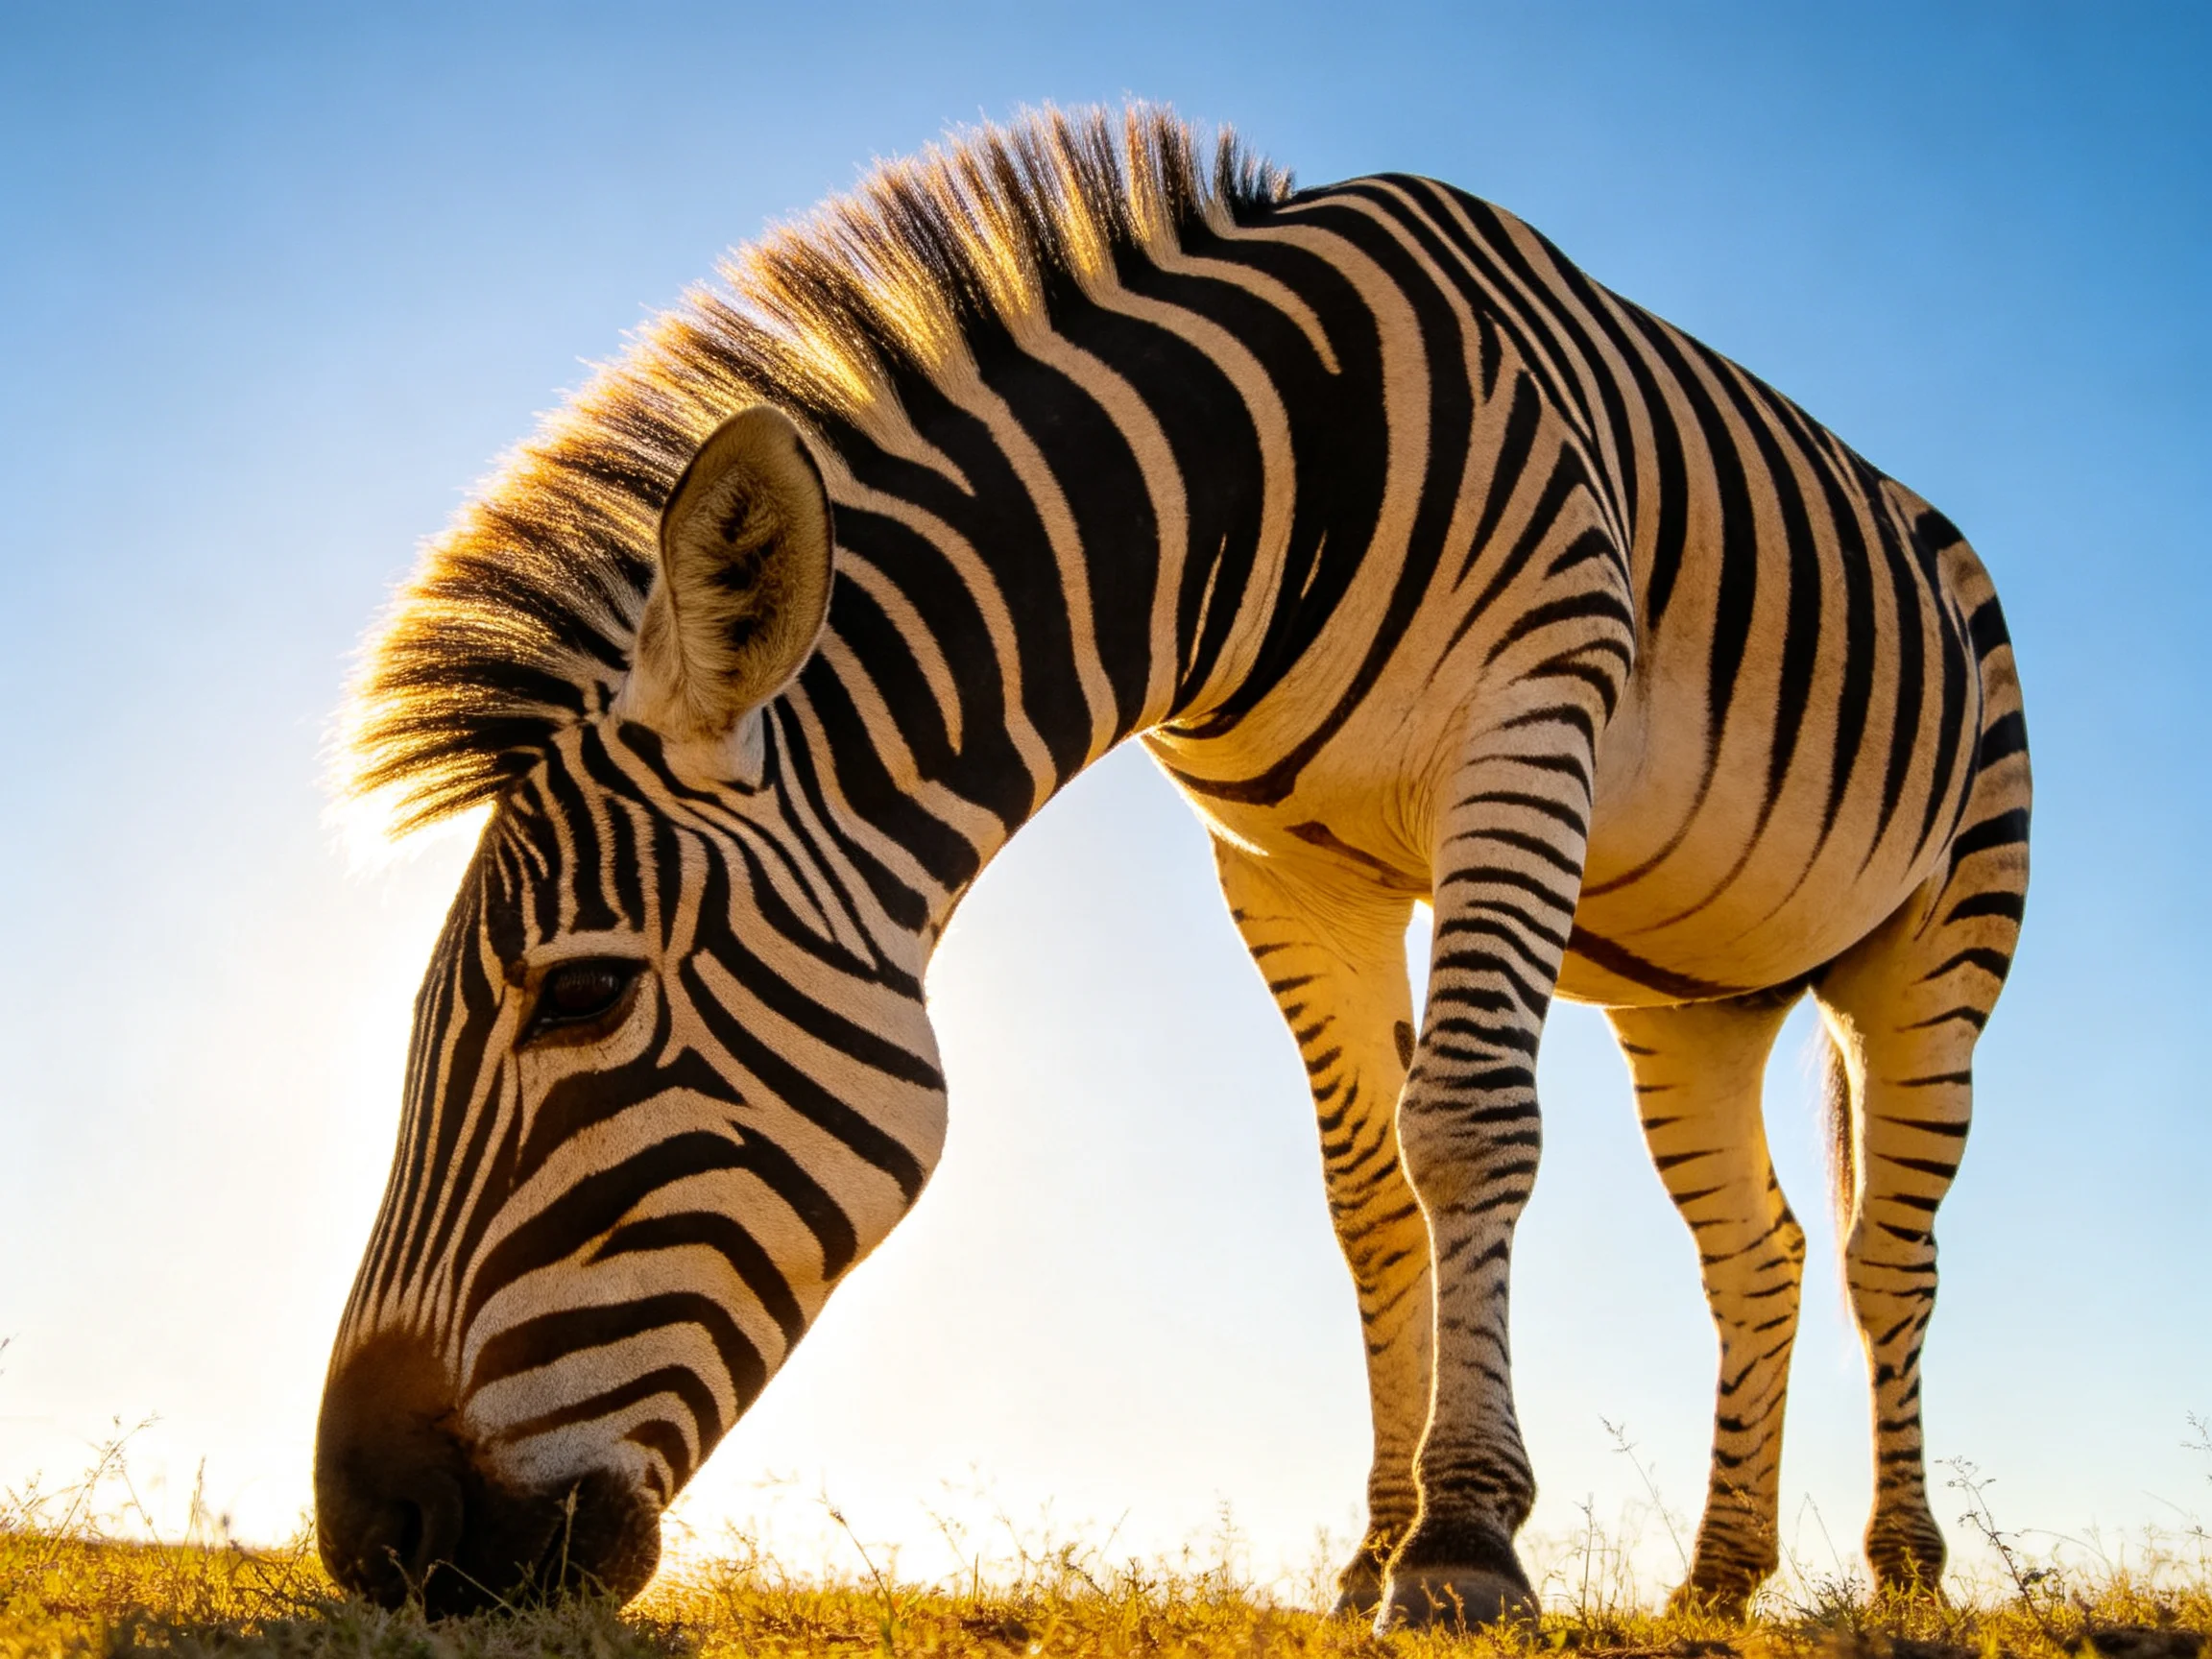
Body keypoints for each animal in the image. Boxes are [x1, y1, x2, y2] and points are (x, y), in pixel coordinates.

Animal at [315, 106, 2030, 1627]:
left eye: (584, 996)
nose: (372, 1537)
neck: (1254, 491)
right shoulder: (1286, 865)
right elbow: (1368, 1195)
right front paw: (1374, 1554)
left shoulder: (1529, 716)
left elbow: (1467, 1127)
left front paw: (1466, 1546)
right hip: (1696, 999)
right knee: (1762, 1255)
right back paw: (1722, 1579)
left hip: (1938, 939)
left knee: (1886, 1256)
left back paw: (1905, 1571)